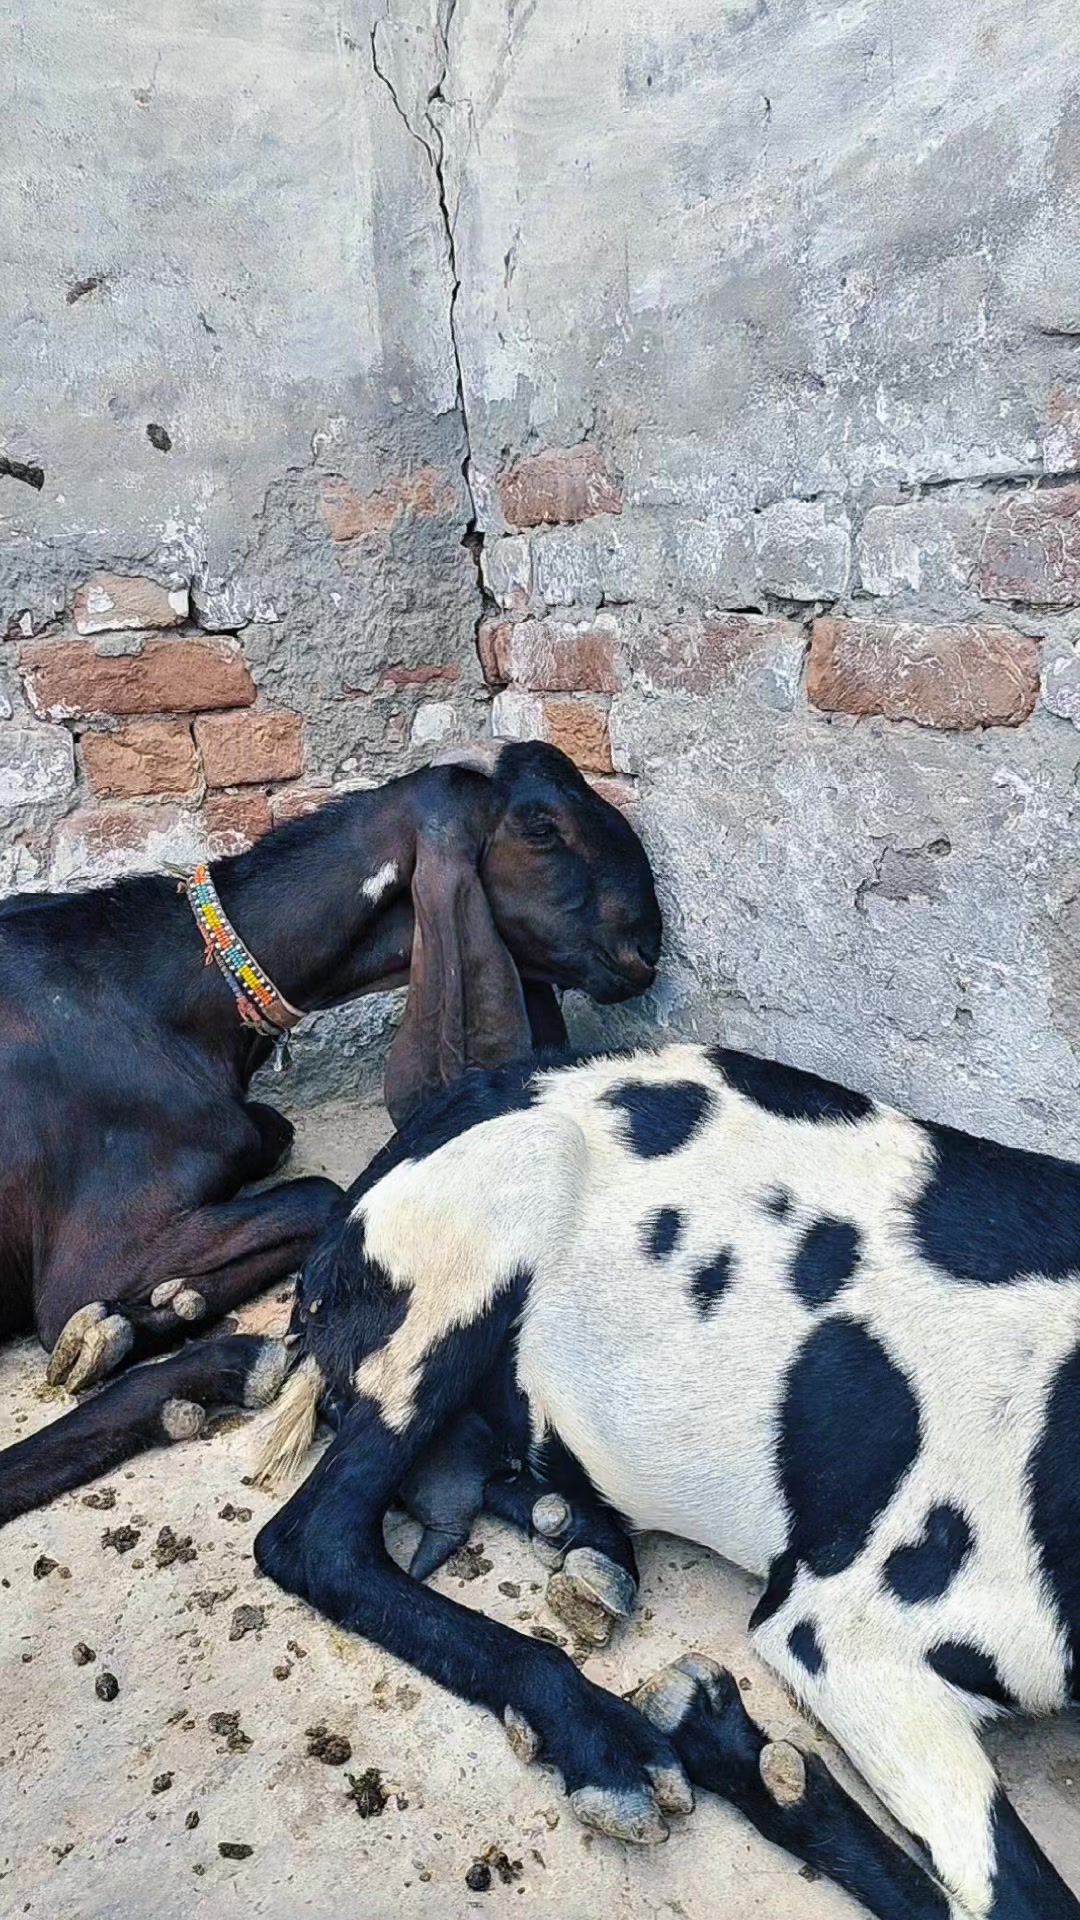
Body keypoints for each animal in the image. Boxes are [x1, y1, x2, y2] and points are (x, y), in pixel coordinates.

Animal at [0, 746, 660, 1464]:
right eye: (540, 827)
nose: (647, 945)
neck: (169, 988)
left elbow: (280, 1135)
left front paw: (168, 1305)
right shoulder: (92, 1258)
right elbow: (317, 1194)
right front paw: (124, 1324)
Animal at [235, 1041, 1080, 1919]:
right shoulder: (840, 1636)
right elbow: (1025, 1897)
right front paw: (735, 1750)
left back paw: (577, 1533)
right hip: (514, 1188)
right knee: (315, 1540)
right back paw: (594, 1732)